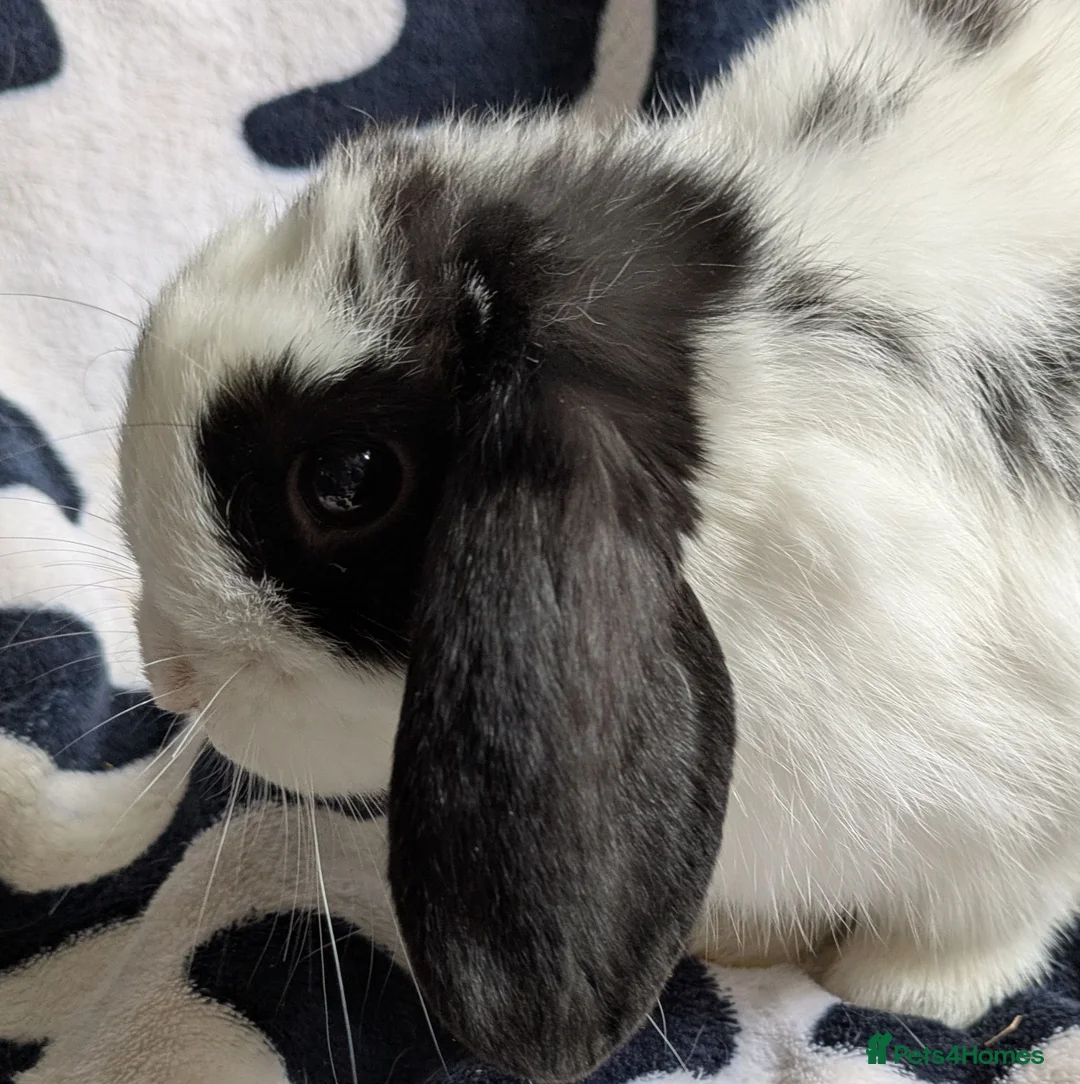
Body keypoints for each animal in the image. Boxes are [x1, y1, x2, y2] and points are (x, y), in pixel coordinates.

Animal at [119, 0, 1080, 1078]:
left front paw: (907, 988)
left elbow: (985, 915)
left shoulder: (1024, 810)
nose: (165, 671)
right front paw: (737, 945)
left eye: (346, 481)